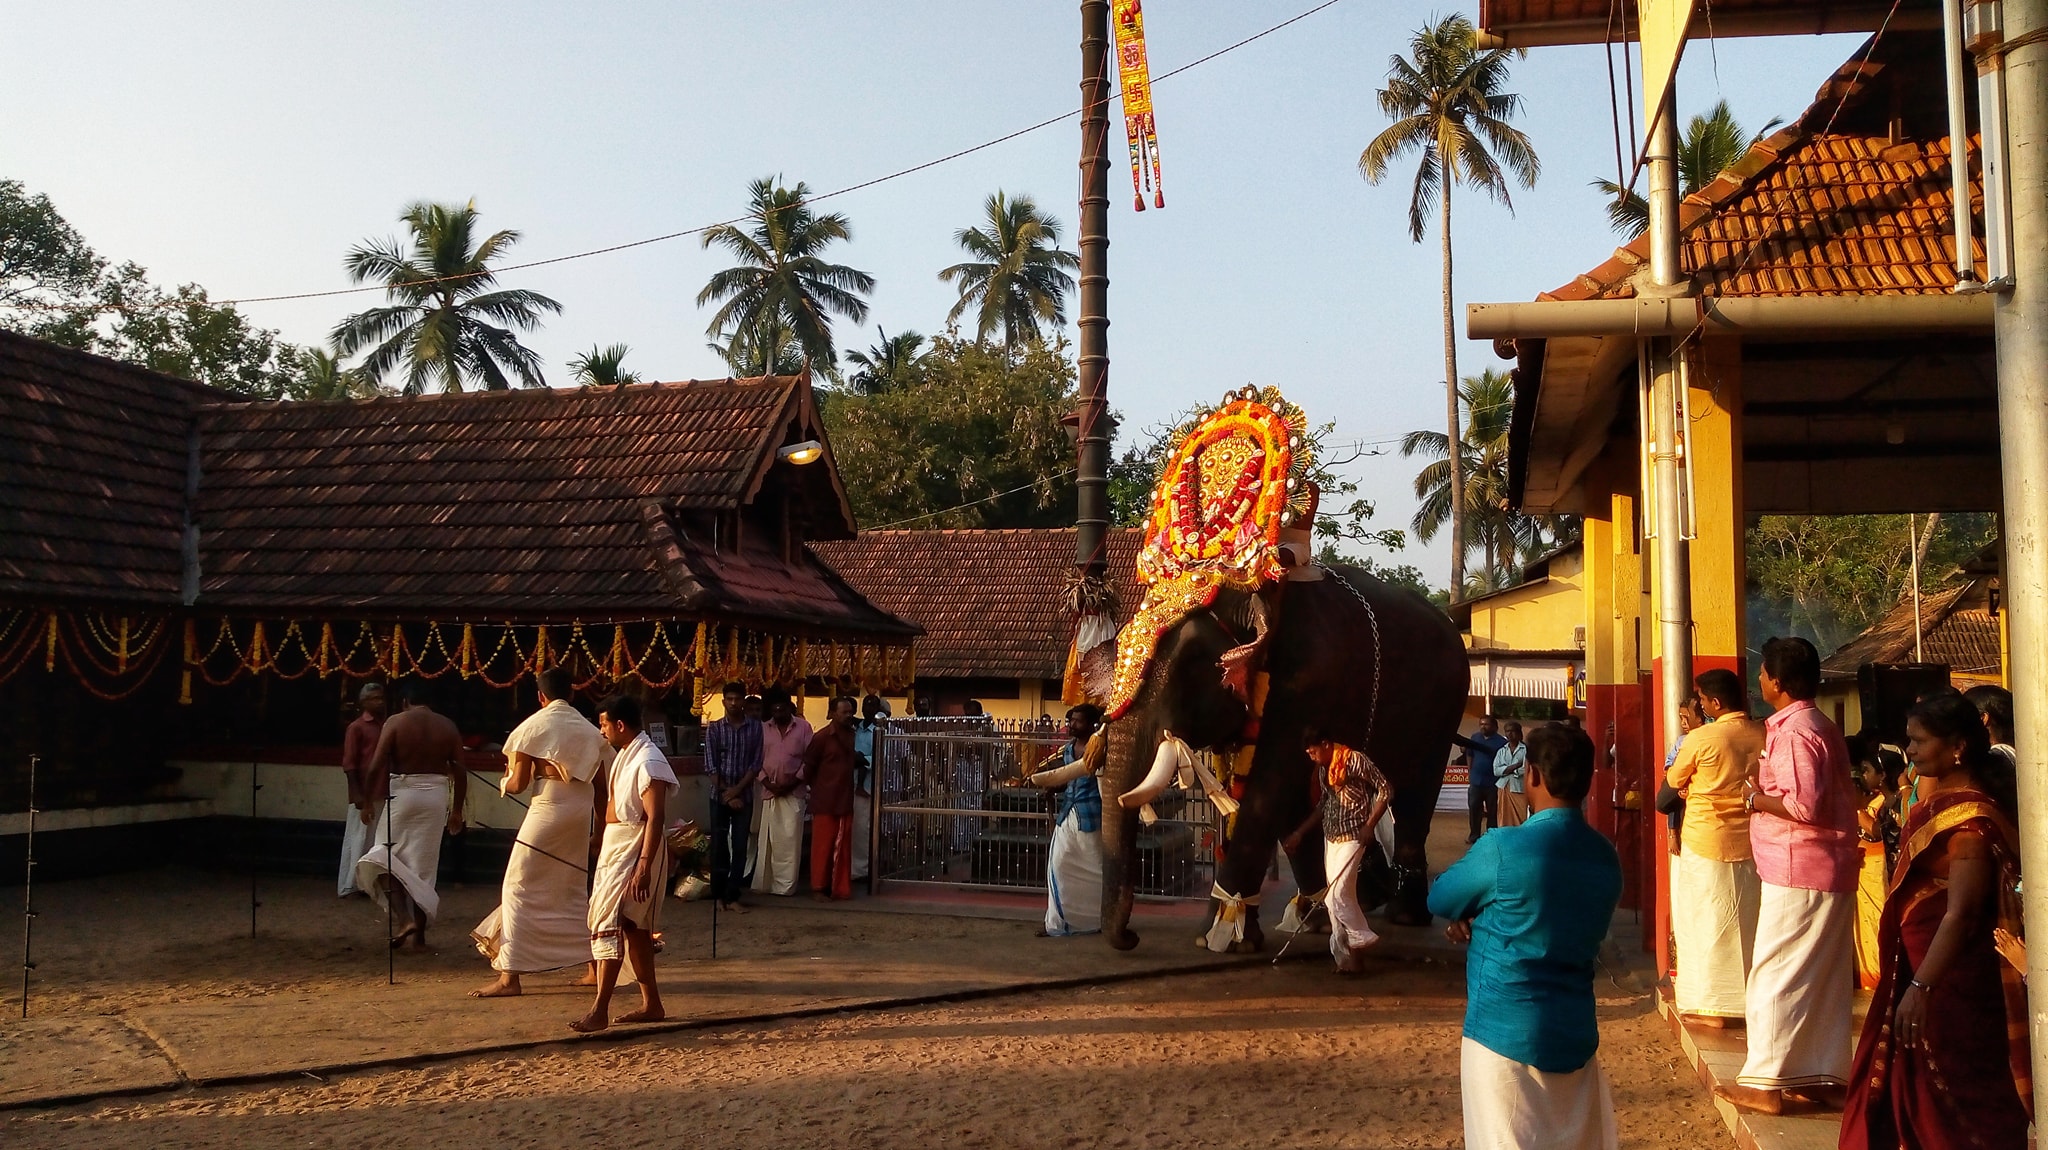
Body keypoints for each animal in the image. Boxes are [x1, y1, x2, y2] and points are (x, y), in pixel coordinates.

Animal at [1105, 560, 1474, 949]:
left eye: (1190, 663)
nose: (1130, 937)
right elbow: (1280, 795)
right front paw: (1312, 922)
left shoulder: (1310, 679)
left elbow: (1271, 788)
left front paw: (1216, 939)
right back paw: (1367, 898)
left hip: (1446, 708)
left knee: (1415, 795)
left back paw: (1404, 915)